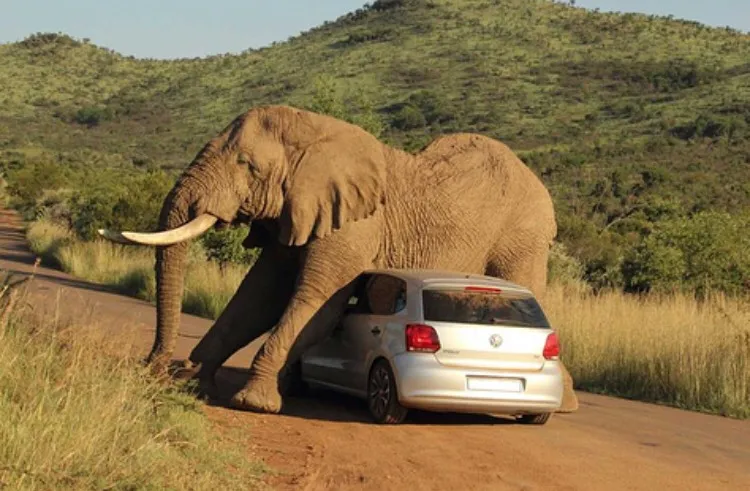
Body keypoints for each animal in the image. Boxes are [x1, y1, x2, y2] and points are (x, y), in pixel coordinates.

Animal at [100, 104, 580, 416]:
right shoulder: (296, 211)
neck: (316, 133)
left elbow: (316, 302)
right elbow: (258, 298)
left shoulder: (353, 226)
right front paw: (195, 381)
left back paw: (566, 403)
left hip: (523, 234)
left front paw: (253, 402)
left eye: (247, 165)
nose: (153, 367)